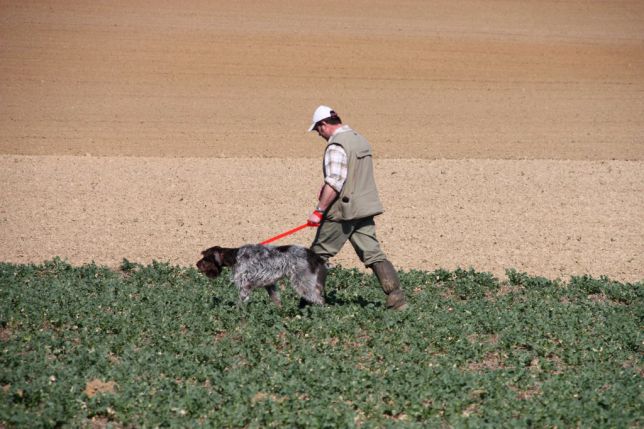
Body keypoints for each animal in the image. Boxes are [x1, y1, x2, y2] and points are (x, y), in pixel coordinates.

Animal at [196, 242, 328, 306]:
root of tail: (315, 256)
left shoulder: (244, 287)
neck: (235, 257)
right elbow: (277, 301)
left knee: (320, 300)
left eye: (206, 258)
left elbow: (240, 305)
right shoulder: (269, 285)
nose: (197, 264)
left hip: (303, 283)